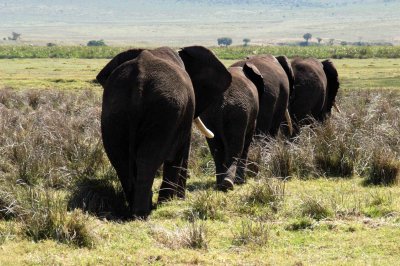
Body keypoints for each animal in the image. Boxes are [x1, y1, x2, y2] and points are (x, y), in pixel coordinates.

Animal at [96, 45, 231, 217]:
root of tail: (138, 81)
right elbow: (180, 151)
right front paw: (174, 200)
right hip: (165, 109)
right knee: (148, 158)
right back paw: (144, 211)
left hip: (114, 109)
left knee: (120, 160)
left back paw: (134, 208)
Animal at [202, 62, 264, 191]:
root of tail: (223, 100)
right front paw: (241, 182)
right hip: (238, 112)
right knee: (236, 147)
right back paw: (229, 183)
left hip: (210, 115)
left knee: (216, 149)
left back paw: (220, 184)